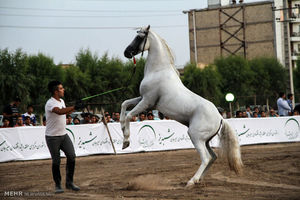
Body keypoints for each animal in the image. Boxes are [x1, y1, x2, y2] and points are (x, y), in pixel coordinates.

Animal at [118, 25, 243, 187]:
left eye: (139, 37)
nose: (127, 52)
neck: (158, 71)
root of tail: (220, 118)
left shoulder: (147, 102)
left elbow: (128, 115)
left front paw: (126, 141)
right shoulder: (143, 99)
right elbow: (124, 105)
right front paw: (122, 133)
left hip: (195, 136)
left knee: (206, 158)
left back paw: (191, 181)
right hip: (205, 140)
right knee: (213, 156)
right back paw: (199, 180)